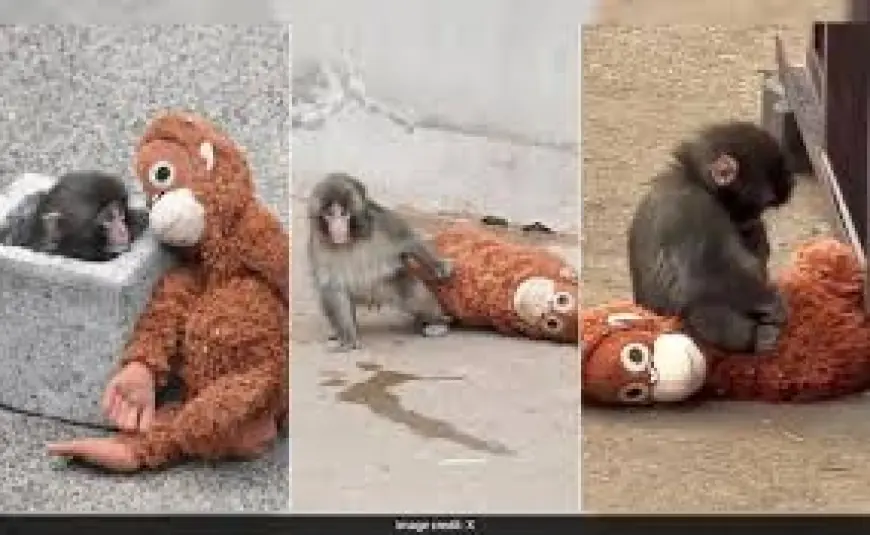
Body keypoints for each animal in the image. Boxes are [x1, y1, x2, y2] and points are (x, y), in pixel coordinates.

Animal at [307, 172, 454, 352]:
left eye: (343, 214)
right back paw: (341, 333)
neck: (352, 239)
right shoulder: (319, 246)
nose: (337, 228)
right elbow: (332, 287)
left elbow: (408, 241)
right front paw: (348, 338)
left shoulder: (382, 223)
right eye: (329, 214)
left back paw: (436, 322)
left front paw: (437, 265)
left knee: (412, 293)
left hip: (386, 284)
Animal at [627, 121, 796, 354]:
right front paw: (770, 300)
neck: (692, 178)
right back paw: (757, 338)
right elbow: (706, 276)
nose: (754, 219)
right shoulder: (694, 208)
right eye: (761, 205)